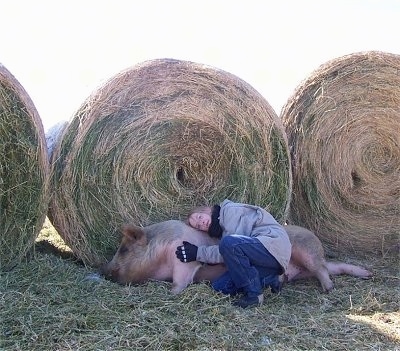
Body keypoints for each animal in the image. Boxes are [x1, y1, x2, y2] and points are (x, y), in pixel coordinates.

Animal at [102, 221, 372, 296]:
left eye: (123, 250)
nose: (105, 271)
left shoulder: (184, 261)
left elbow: (182, 279)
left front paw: (172, 293)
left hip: (308, 250)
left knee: (322, 269)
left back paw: (329, 289)